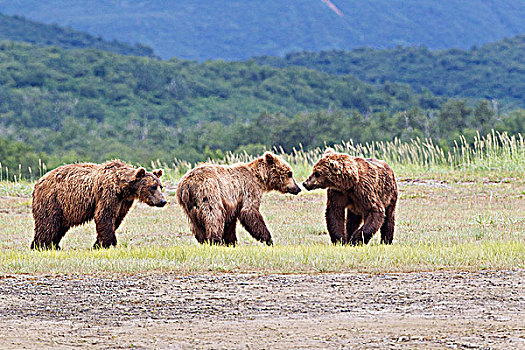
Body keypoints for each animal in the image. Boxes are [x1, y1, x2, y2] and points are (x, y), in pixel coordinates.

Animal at [30, 160, 166, 250]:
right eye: (153, 186)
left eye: (161, 186)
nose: (163, 201)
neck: (123, 187)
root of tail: (39, 181)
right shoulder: (108, 193)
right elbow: (104, 216)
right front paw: (108, 244)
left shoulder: (124, 201)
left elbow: (117, 219)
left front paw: (99, 244)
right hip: (52, 199)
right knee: (48, 222)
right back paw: (40, 246)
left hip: (65, 209)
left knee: (60, 226)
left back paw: (54, 245)